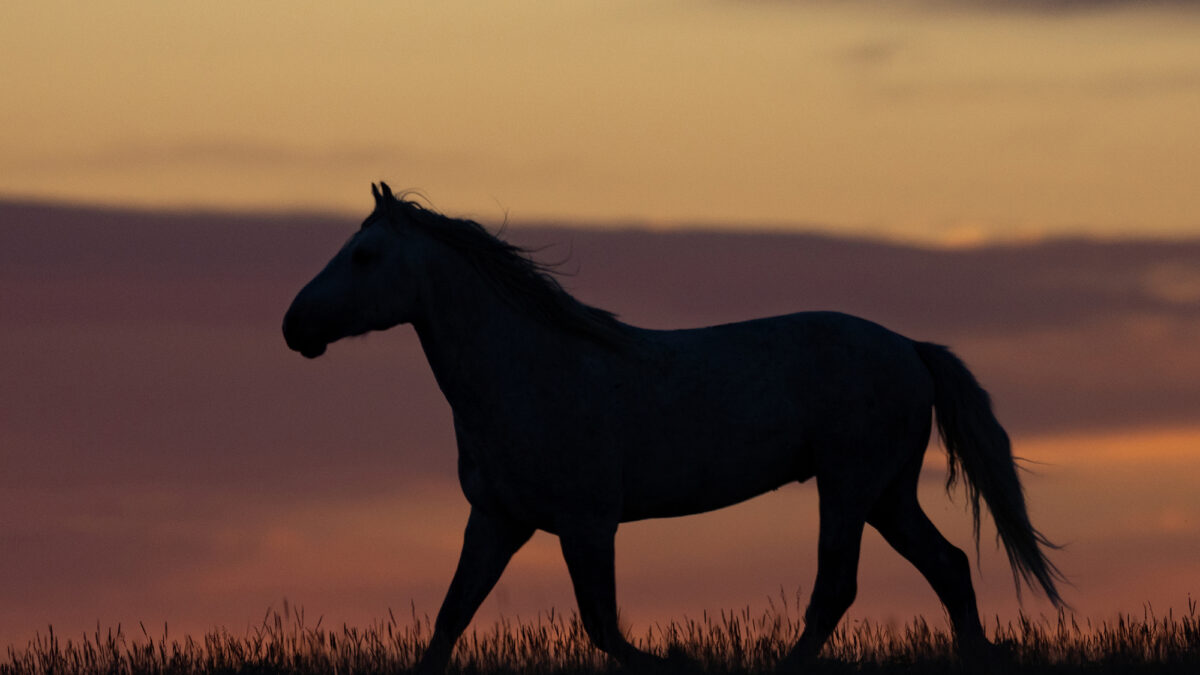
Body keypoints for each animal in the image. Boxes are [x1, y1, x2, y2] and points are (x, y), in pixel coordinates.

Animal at [278, 181, 1060, 667]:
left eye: (364, 255)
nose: (294, 327)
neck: (528, 373)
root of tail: (910, 348)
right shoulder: (497, 520)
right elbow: (449, 621)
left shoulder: (587, 523)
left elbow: (603, 628)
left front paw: (678, 658)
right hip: (886, 494)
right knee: (948, 565)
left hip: (849, 486)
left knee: (837, 589)